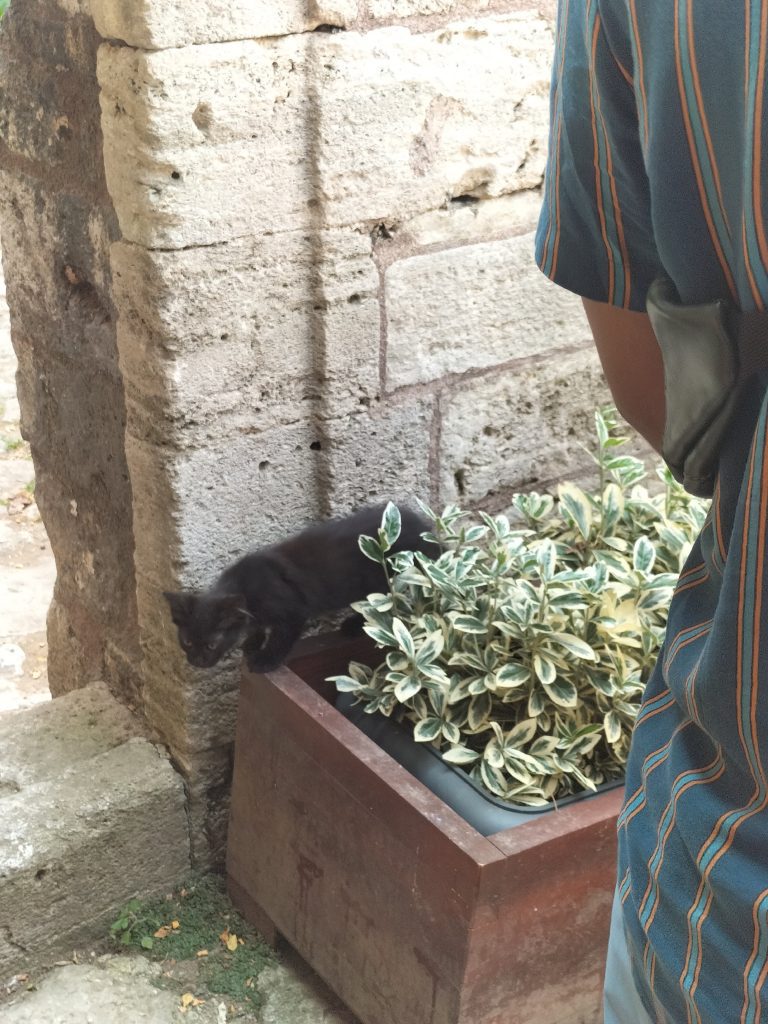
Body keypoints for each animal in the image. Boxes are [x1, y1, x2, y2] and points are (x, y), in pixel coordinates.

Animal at [164, 501, 436, 671]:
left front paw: (265, 660)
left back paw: (353, 625)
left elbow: (282, 637)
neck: (245, 586)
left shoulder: (293, 611)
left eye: (212, 644)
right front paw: (252, 641)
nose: (197, 661)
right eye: (187, 642)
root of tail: (427, 530)